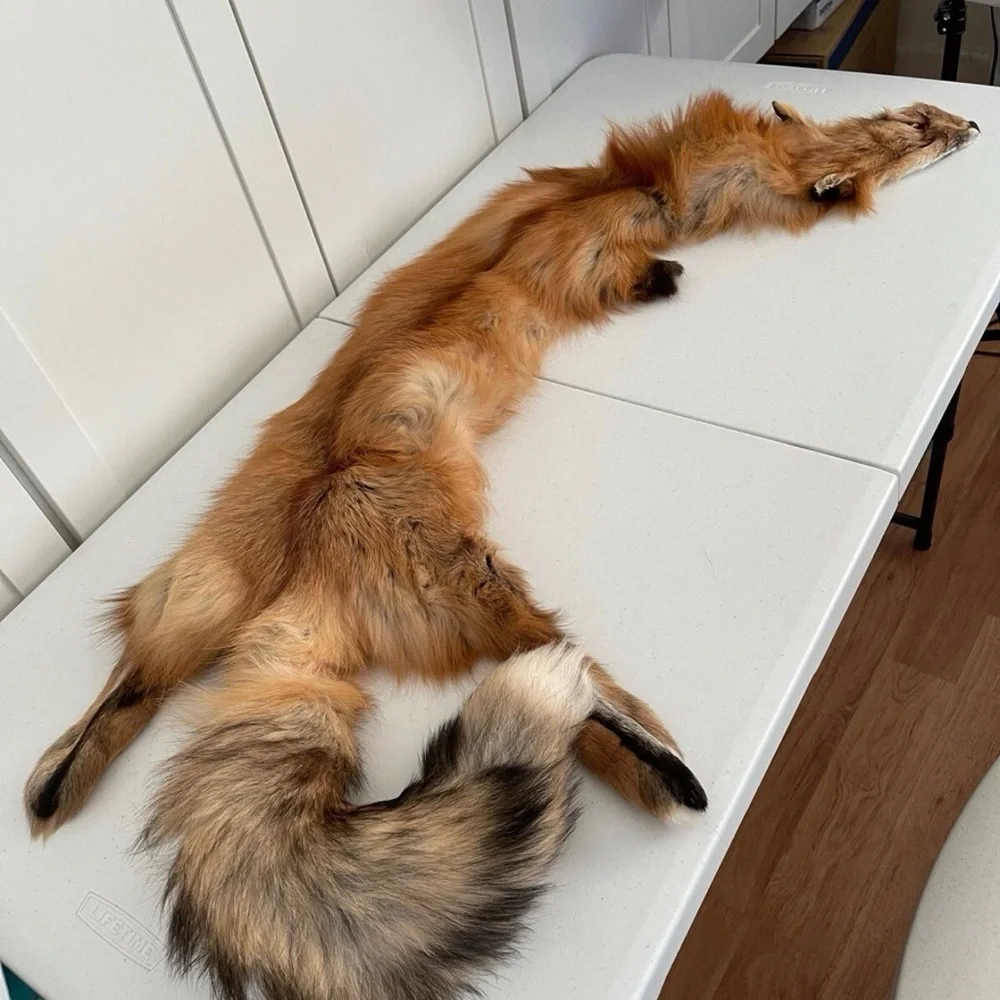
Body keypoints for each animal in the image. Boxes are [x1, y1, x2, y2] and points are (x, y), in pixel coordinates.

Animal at [24, 91, 977, 1000]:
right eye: (926, 128)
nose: (969, 122)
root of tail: (304, 582)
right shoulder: (715, 177)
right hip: (479, 586)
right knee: (573, 684)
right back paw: (671, 776)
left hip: (200, 595)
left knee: (131, 683)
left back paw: (50, 787)